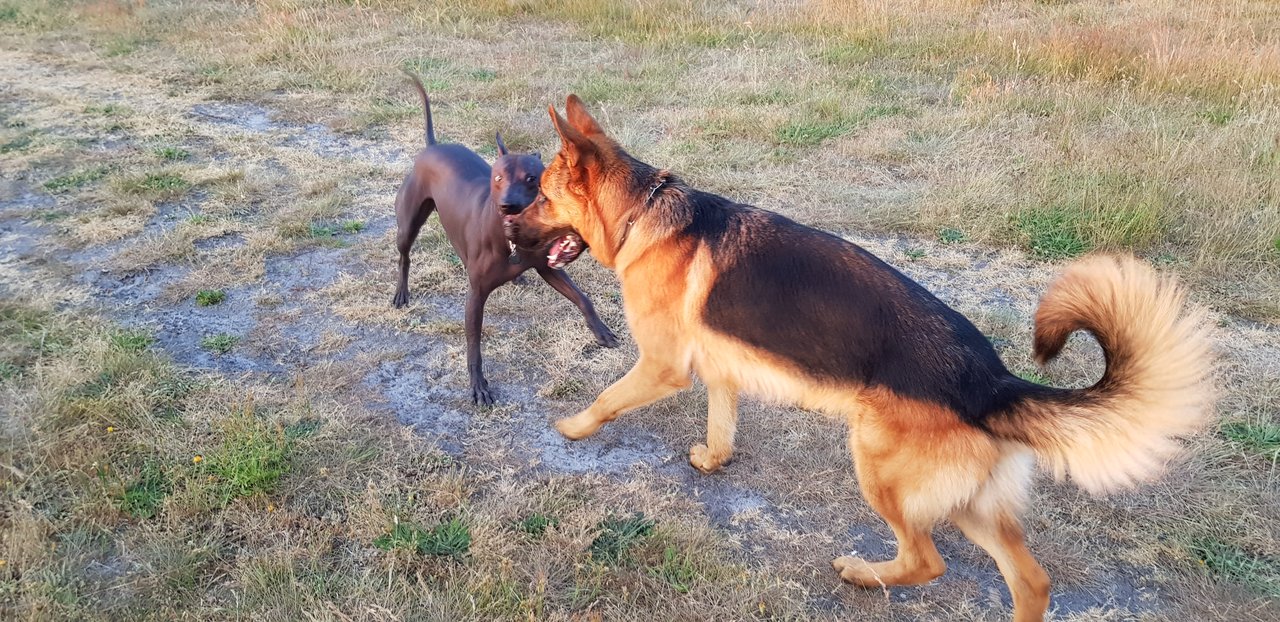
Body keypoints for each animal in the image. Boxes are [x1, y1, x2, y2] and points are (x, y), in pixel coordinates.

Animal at [392, 77, 618, 405]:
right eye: (498, 178)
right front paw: (478, 385)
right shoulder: (475, 296)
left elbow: (582, 297)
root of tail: (433, 146)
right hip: (408, 224)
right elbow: (474, 347)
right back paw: (401, 292)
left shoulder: (547, 266)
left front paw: (600, 331)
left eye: (531, 179)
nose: (508, 205)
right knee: (404, 255)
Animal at [504, 95, 1215, 621]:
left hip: (879, 469)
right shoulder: (721, 368)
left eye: (539, 194)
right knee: (1031, 580)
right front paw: (712, 458)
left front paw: (570, 427)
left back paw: (861, 571)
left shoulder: (659, 367)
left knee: (928, 560)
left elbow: (606, 398)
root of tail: (991, 381)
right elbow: (722, 421)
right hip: (969, 503)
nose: (506, 225)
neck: (642, 215)